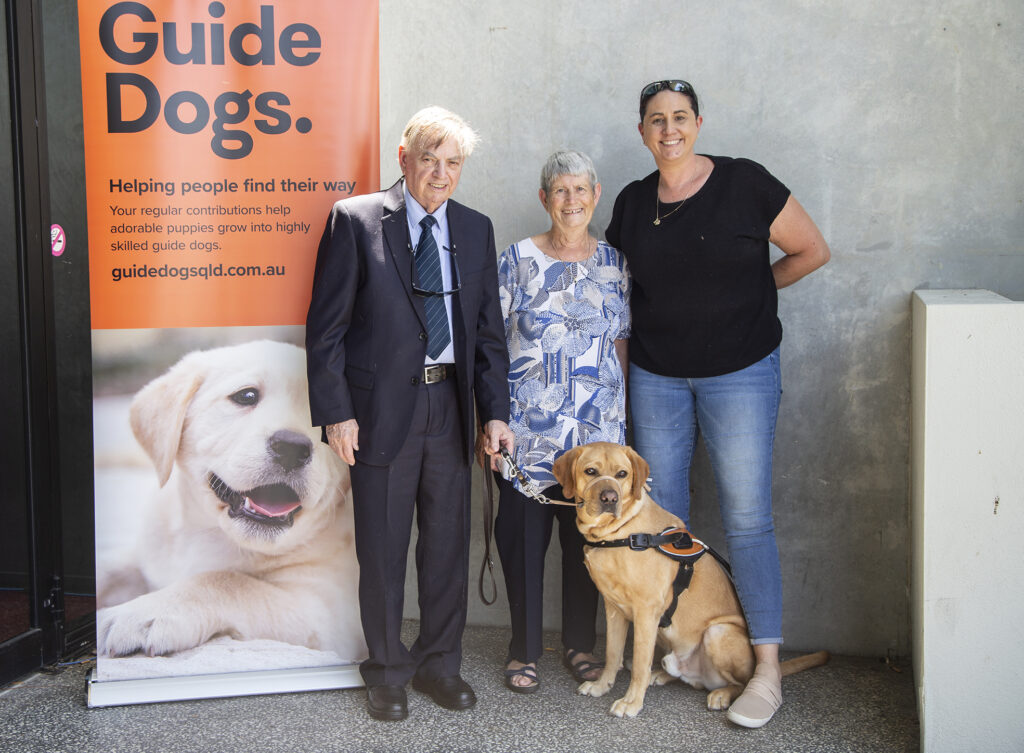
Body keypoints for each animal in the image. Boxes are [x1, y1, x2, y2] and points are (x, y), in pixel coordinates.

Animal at [548, 442, 827, 717]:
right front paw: (601, 685)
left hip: (718, 631)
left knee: (741, 681)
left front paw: (631, 702)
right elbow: (613, 654)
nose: (609, 498)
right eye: (591, 471)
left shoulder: (646, 610)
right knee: (681, 675)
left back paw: (723, 694)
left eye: (622, 474)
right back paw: (661, 675)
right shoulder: (613, 608)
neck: (619, 533)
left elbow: (639, 663)